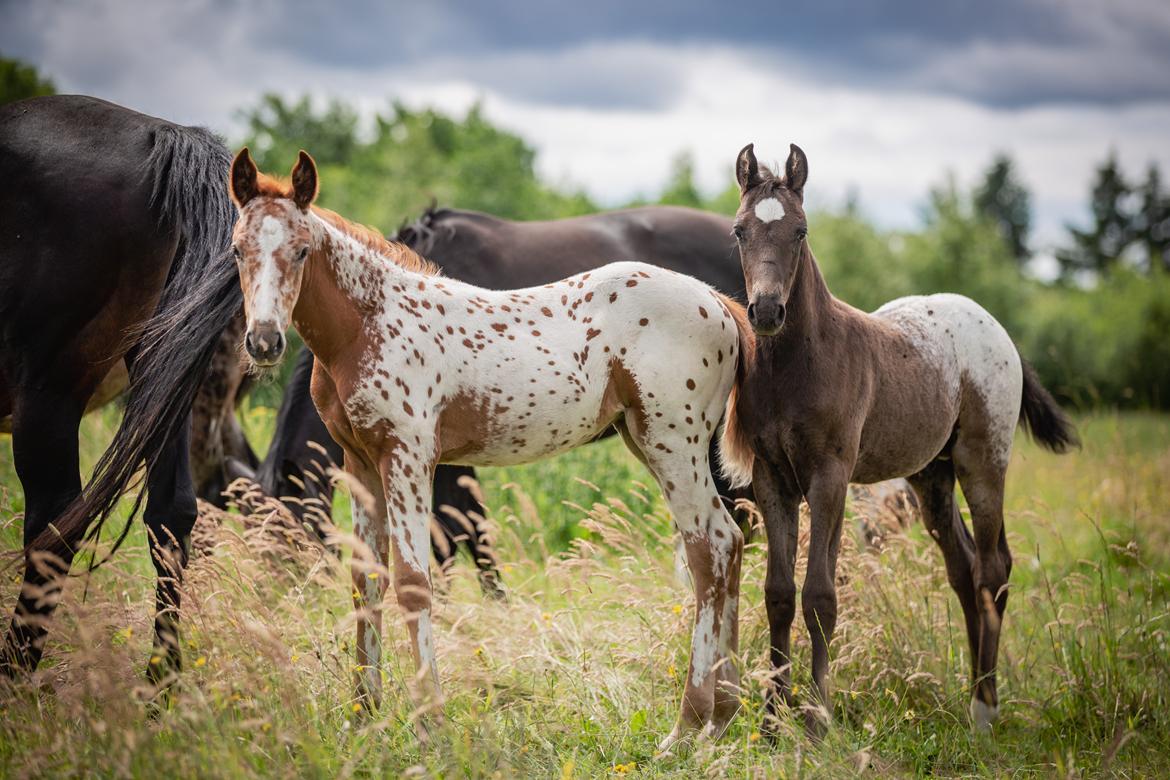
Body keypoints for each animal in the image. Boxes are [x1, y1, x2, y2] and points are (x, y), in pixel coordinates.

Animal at [0, 95, 239, 682]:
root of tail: (170, 135)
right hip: (165, 375)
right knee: (172, 515)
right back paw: (160, 683)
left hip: (49, 390)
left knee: (54, 521)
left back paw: (15, 676)